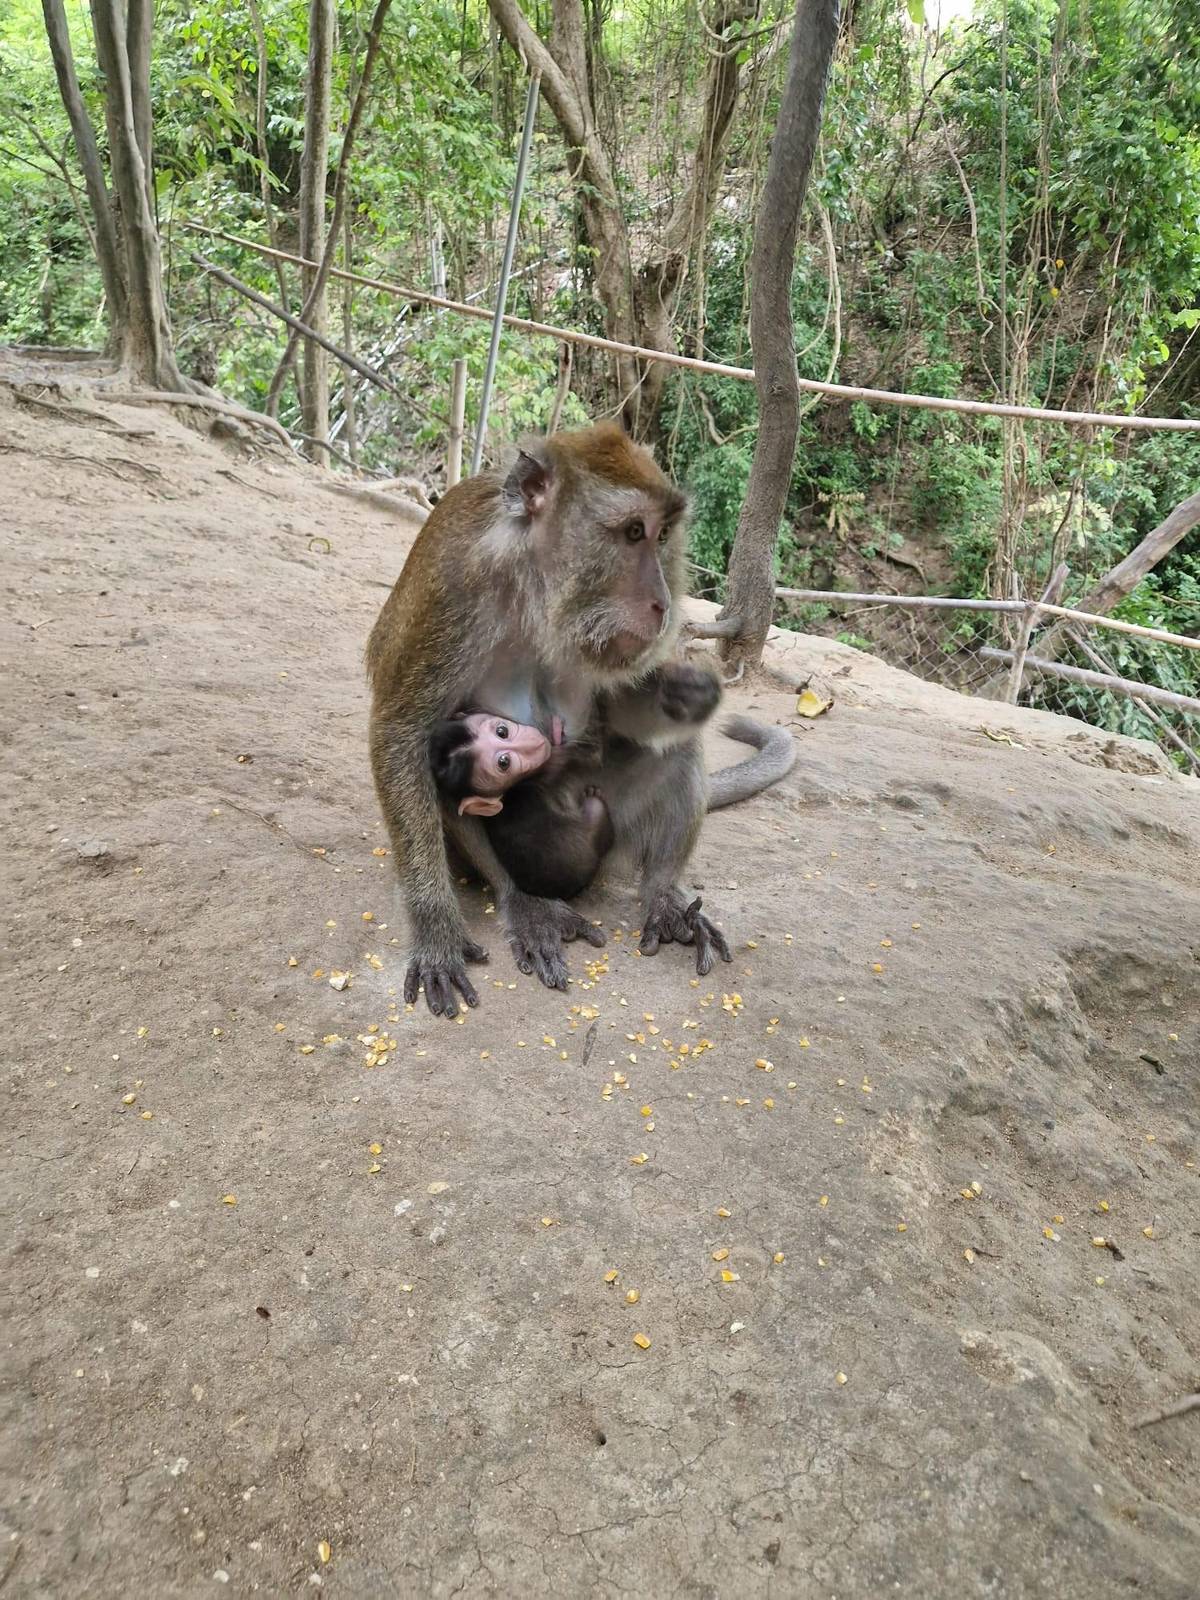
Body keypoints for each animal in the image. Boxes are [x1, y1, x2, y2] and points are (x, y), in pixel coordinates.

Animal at [366, 421, 794, 1017]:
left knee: (676, 751)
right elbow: (403, 733)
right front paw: (436, 933)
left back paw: (664, 896)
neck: (538, 590)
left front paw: (686, 695)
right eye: (633, 532)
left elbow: (624, 706)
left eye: (663, 536)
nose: (664, 602)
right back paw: (523, 899)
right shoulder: (454, 584)